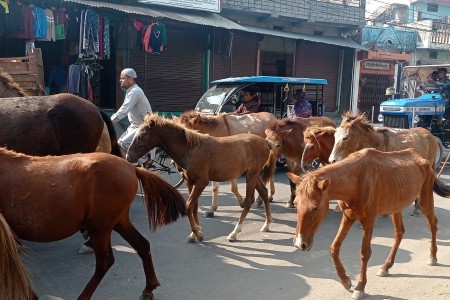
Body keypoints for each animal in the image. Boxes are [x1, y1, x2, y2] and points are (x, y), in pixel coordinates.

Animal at [0, 148, 185, 300]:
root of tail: (132, 168)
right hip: (118, 222)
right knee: (142, 245)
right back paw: (148, 288)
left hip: (99, 227)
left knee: (105, 261)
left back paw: (84, 296)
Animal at [127, 113, 274, 243]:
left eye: (141, 136)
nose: (129, 157)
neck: (191, 149)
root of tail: (266, 142)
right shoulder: (190, 182)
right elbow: (194, 207)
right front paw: (194, 233)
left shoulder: (201, 182)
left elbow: (188, 206)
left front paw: (198, 234)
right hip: (254, 175)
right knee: (264, 192)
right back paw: (266, 225)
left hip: (252, 175)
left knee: (249, 200)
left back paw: (234, 232)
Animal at [288, 148, 450, 300]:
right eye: (295, 203)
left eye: (315, 208)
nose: (300, 243)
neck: (356, 180)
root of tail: (423, 159)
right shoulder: (348, 217)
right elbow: (334, 248)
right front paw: (345, 280)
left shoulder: (369, 219)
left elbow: (365, 253)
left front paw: (360, 287)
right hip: (396, 207)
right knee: (399, 232)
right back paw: (386, 266)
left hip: (424, 201)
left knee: (433, 224)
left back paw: (432, 257)